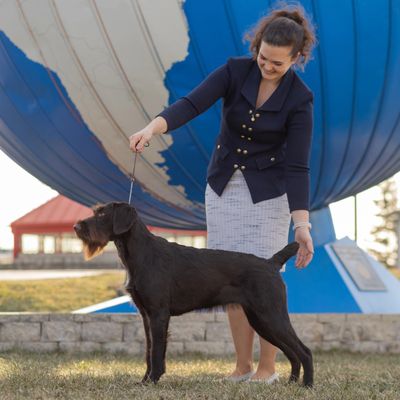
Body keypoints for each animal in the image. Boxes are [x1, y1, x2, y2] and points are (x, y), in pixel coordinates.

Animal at [74, 202, 313, 387]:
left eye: (102, 214)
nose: (76, 226)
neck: (142, 253)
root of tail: (271, 263)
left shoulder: (159, 314)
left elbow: (157, 351)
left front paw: (153, 380)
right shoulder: (146, 315)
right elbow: (149, 351)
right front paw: (144, 380)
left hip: (271, 315)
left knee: (304, 351)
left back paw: (307, 386)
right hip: (260, 320)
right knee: (292, 353)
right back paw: (292, 383)